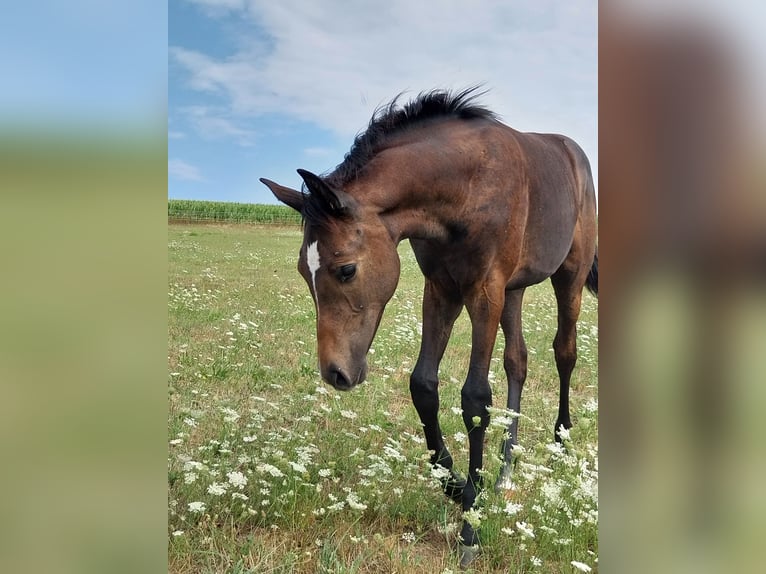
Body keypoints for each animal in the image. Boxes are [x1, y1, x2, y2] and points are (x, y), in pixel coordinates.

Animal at [260, 87, 598, 567]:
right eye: (302, 273)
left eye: (346, 269)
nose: (335, 373)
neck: (465, 185)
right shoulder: (441, 289)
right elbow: (423, 385)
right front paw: (457, 484)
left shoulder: (484, 291)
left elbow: (475, 398)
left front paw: (471, 525)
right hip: (515, 289)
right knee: (518, 361)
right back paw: (505, 470)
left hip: (568, 275)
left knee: (564, 352)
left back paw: (560, 445)